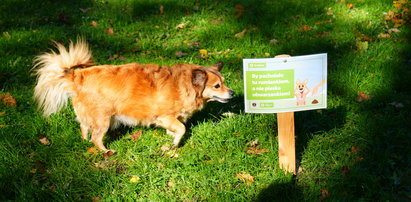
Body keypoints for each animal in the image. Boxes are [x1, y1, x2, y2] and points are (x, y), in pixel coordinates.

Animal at [33, 38, 233, 152]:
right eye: (217, 86)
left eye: (224, 82)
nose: (232, 92)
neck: (183, 85)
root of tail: (77, 75)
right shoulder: (164, 116)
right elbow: (182, 129)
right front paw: (173, 145)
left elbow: (177, 128)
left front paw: (171, 136)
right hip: (103, 119)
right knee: (96, 137)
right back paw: (106, 151)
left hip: (89, 116)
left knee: (84, 128)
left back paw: (84, 142)